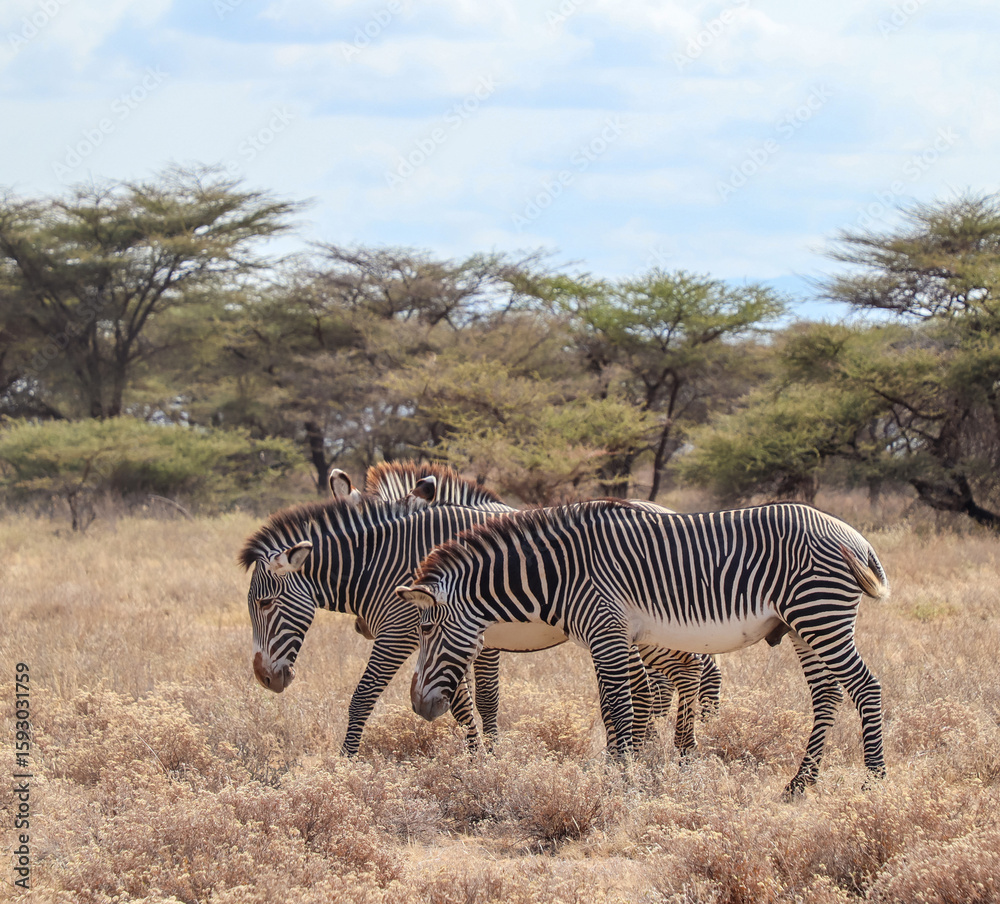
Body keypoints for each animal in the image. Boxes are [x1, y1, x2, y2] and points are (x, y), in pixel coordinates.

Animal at [399, 500, 889, 796]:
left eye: (426, 628)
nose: (418, 706)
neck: (560, 573)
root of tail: (854, 536)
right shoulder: (605, 640)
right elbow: (613, 708)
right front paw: (622, 771)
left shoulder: (607, 632)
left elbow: (618, 708)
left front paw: (621, 779)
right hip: (802, 627)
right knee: (826, 695)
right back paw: (800, 784)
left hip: (820, 615)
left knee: (866, 688)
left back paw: (874, 784)